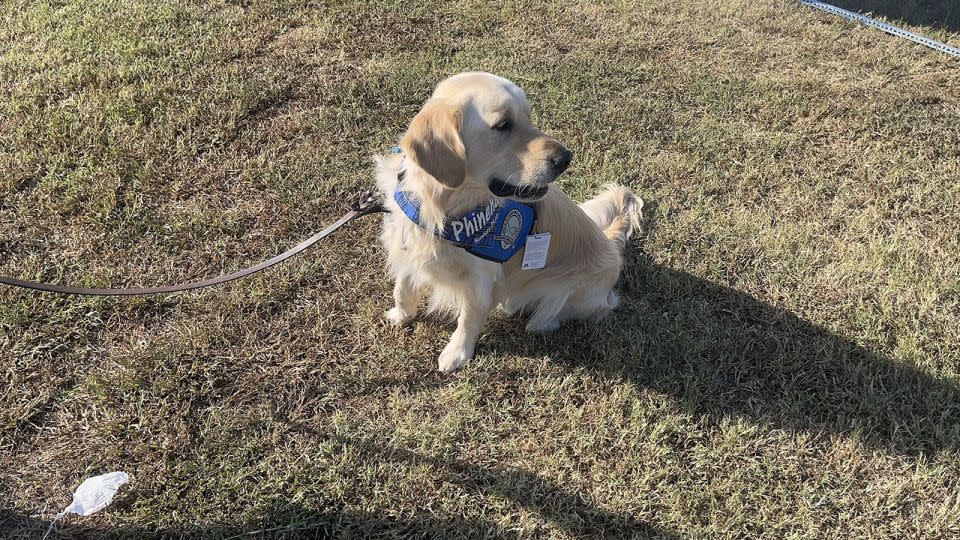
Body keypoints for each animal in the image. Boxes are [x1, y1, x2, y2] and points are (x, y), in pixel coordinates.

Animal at [378, 73, 640, 372]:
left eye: (529, 116)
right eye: (503, 125)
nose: (565, 158)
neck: (448, 211)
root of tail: (610, 243)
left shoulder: (479, 279)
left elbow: (468, 318)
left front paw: (457, 353)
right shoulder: (406, 245)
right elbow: (402, 287)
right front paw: (401, 314)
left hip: (567, 291)